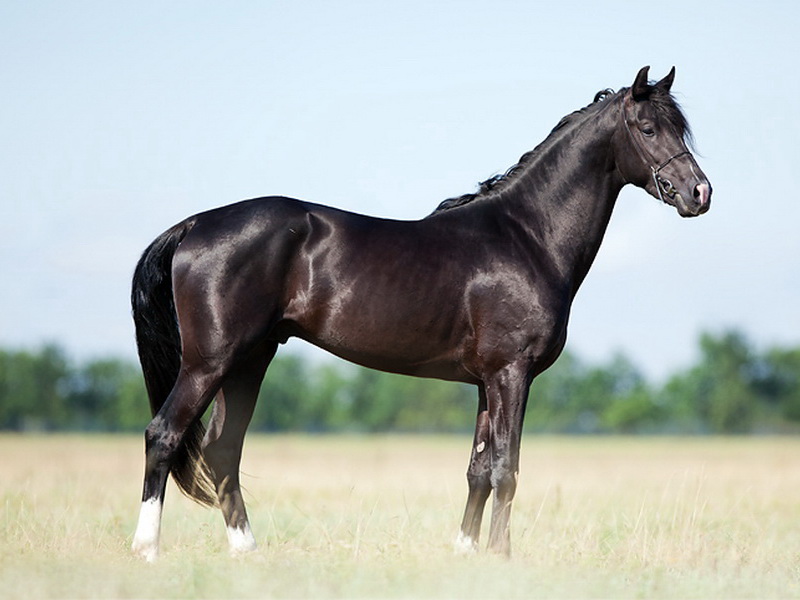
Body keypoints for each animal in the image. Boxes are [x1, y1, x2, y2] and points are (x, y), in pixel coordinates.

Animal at [131, 68, 712, 560]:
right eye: (647, 128)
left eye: (680, 128)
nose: (699, 193)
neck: (526, 235)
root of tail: (195, 224)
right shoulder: (512, 374)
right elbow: (507, 469)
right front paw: (501, 557)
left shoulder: (485, 382)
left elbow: (478, 471)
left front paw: (467, 554)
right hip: (210, 362)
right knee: (165, 435)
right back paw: (147, 550)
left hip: (249, 362)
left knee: (221, 449)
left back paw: (247, 552)